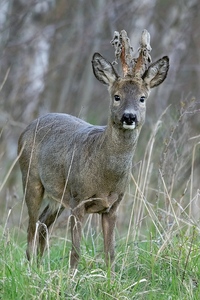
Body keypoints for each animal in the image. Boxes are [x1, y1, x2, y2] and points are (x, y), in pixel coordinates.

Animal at [18, 29, 170, 270]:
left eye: (142, 98)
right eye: (116, 96)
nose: (129, 116)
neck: (104, 175)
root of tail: (27, 128)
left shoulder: (113, 205)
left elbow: (110, 253)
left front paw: (110, 278)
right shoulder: (79, 199)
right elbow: (75, 252)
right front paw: (71, 277)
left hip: (58, 196)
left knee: (42, 223)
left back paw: (41, 266)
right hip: (31, 179)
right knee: (31, 226)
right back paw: (31, 267)